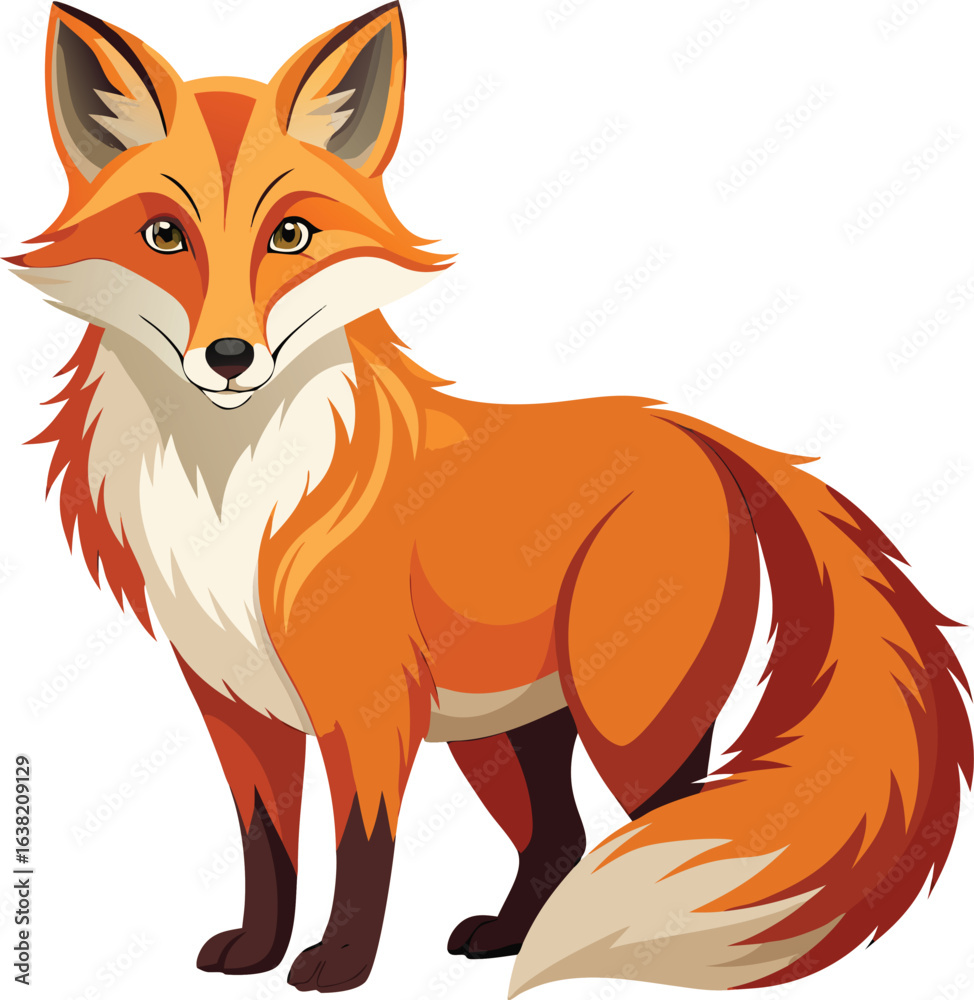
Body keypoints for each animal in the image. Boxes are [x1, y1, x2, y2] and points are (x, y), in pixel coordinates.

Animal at [10, 1, 973, 996]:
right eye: (165, 236)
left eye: (291, 236)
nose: (231, 357)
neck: (228, 498)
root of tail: (699, 434)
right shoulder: (234, 705)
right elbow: (265, 843)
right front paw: (256, 951)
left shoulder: (369, 705)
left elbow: (363, 845)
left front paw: (338, 963)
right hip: (510, 734)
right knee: (562, 838)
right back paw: (511, 933)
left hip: (628, 720)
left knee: (663, 835)